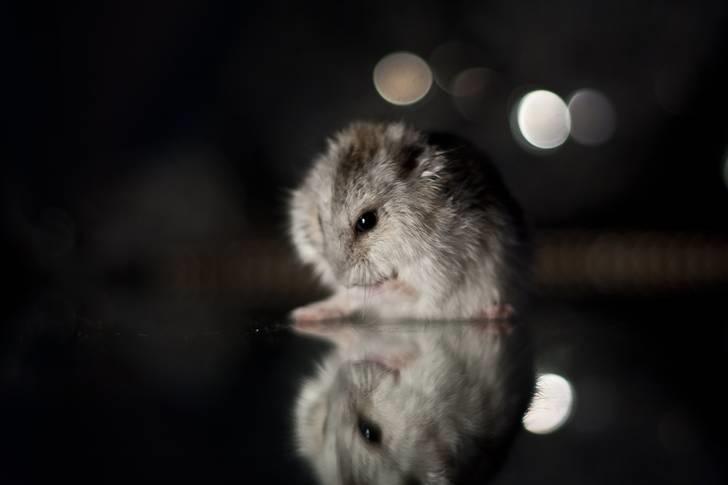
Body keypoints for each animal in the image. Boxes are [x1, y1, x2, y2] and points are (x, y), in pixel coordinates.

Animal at [289, 121, 529, 321]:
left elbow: (406, 290)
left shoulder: (441, 269)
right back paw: (304, 314)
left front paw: (372, 288)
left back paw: (498, 313)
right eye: (319, 222)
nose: (343, 280)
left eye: (367, 221)